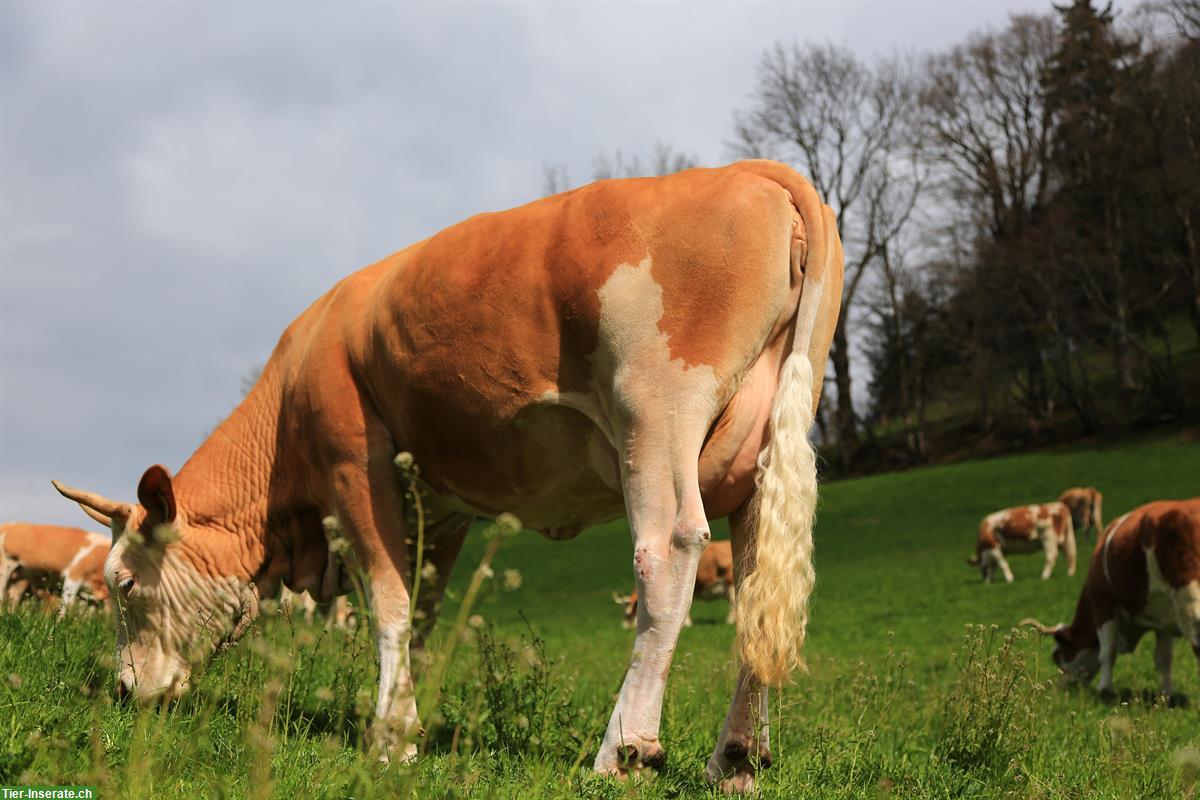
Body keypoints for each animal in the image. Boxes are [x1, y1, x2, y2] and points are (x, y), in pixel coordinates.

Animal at [52, 159, 843, 793]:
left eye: (124, 583)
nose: (124, 691)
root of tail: (754, 169)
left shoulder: (353, 461)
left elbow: (388, 604)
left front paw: (387, 740)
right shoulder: (443, 505)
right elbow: (424, 612)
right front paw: (412, 723)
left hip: (656, 408)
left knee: (668, 553)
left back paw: (622, 752)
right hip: (767, 441)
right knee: (757, 589)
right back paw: (735, 759)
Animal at [1022, 499, 1200, 697]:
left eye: (1059, 656)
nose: (1062, 689)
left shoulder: (1103, 604)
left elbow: (1107, 652)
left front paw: (1105, 688)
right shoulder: (1164, 616)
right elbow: (1164, 659)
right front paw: (1167, 693)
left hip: (1190, 604)